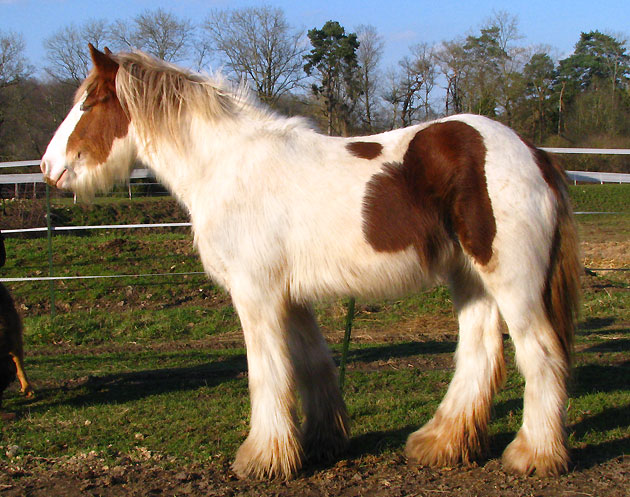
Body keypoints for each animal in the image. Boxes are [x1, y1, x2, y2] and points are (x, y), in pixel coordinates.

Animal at [40, 44, 584, 478]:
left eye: (88, 102)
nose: (48, 167)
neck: (225, 167)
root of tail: (534, 154)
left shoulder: (256, 294)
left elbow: (266, 372)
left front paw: (262, 459)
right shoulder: (291, 297)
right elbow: (311, 366)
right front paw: (322, 443)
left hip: (513, 282)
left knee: (540, 356)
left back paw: (533, 455)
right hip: (470, 278)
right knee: (479, 355)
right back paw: (440, 444)